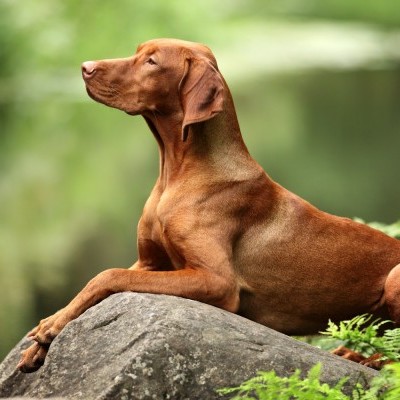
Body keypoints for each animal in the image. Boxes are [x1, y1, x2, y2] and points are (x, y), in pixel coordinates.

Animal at [17, 38, 400, 372]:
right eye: (138, 51)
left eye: (152, 61)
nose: (85, 67)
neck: (175, 174)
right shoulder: (149, 263)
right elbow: (96, 281)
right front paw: (47, 333)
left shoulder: (216, 281)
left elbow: (107, 274)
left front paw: (49, 326)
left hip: (394, 279)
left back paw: (363, 358)